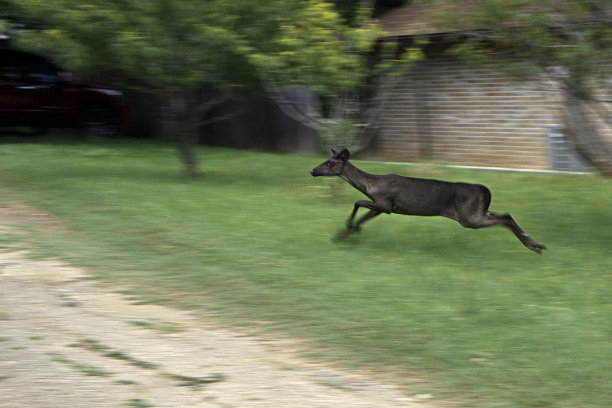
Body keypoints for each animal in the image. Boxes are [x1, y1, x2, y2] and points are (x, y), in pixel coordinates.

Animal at [310, 148, 544, 253]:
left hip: (468, 217)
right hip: (477, 211)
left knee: (505, 218)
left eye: (330, 163)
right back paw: (535, 244)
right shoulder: (383, 207)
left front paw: (347, 231)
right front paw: (346, 233)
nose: (313, 170)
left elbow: (357, 202)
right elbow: (362, 212)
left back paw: (534, 245)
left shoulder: (385, 203)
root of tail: (485, 191)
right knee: (505, 215)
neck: (371, 185)